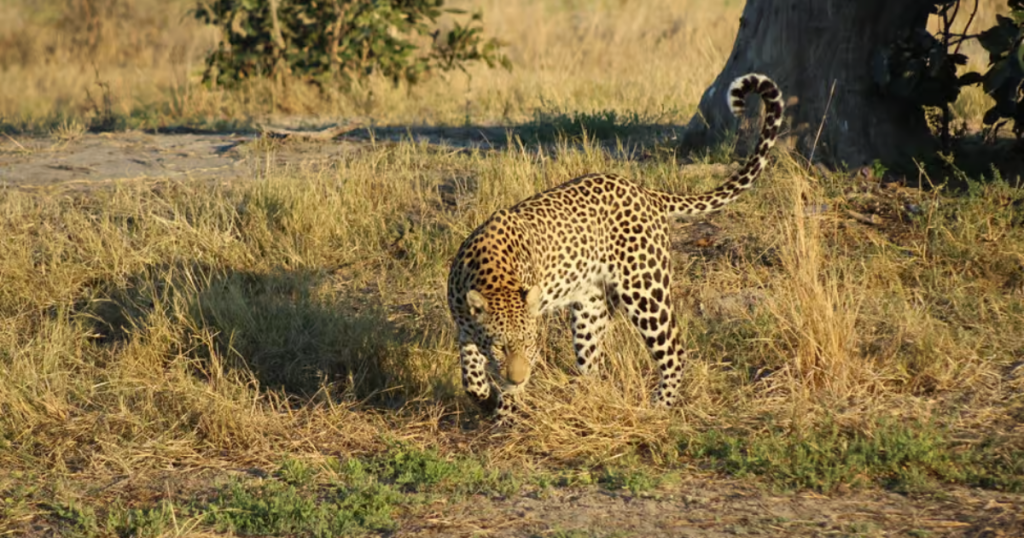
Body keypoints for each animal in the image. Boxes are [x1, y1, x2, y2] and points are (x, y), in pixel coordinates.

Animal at [446, 73, 784, 422]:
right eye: (500, 346)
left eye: (529, 343)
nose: (518, 378)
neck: (493, 274)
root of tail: (645, 191)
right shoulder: (463, 325)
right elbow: (469, 369)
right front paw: (482, 394)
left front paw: (505, 413)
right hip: (590, 306)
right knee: (592, 361)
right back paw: (584, 398)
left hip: (645, 292)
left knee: (674, 350)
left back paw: (659, 407)